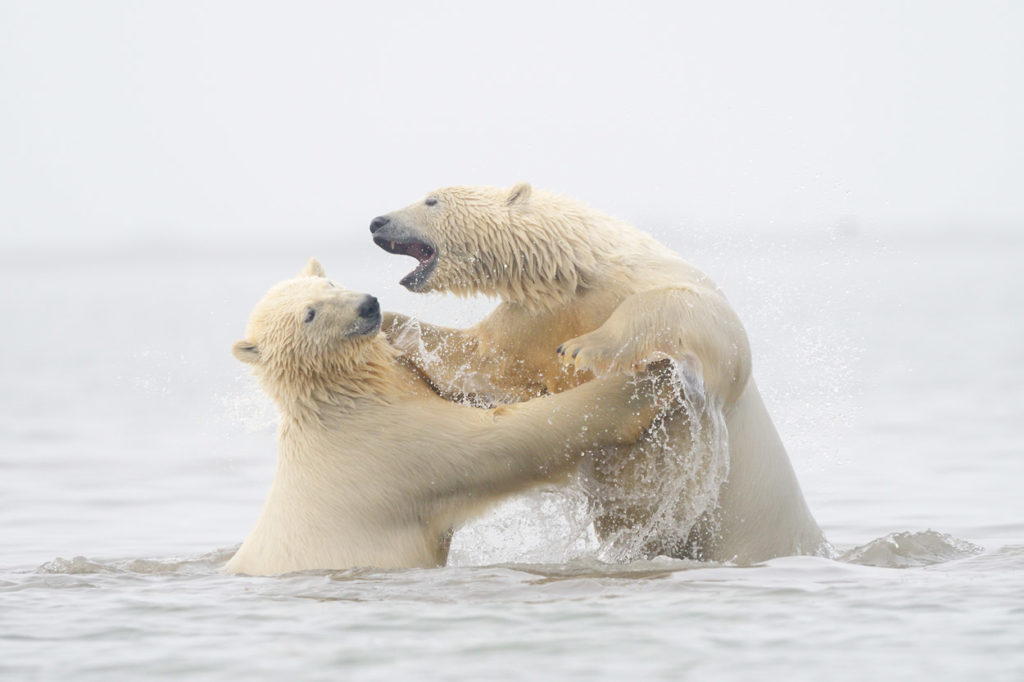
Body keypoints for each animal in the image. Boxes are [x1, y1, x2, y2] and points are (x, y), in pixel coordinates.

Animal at [227, 258, 667, 577]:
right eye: (310, 314)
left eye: (331, 284)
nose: (367, 305)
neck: (344, 398)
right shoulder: (392, 448)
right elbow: (502, 439)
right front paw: (650, 380)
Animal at [370, 183, 831, 561]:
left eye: (431, 200)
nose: (377, 221)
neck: (576, 270)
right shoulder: (538, 317)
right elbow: (486, 363)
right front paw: (389, 324)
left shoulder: (644, 282)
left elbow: (704, 320)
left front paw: (584, 347)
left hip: (746, 529)